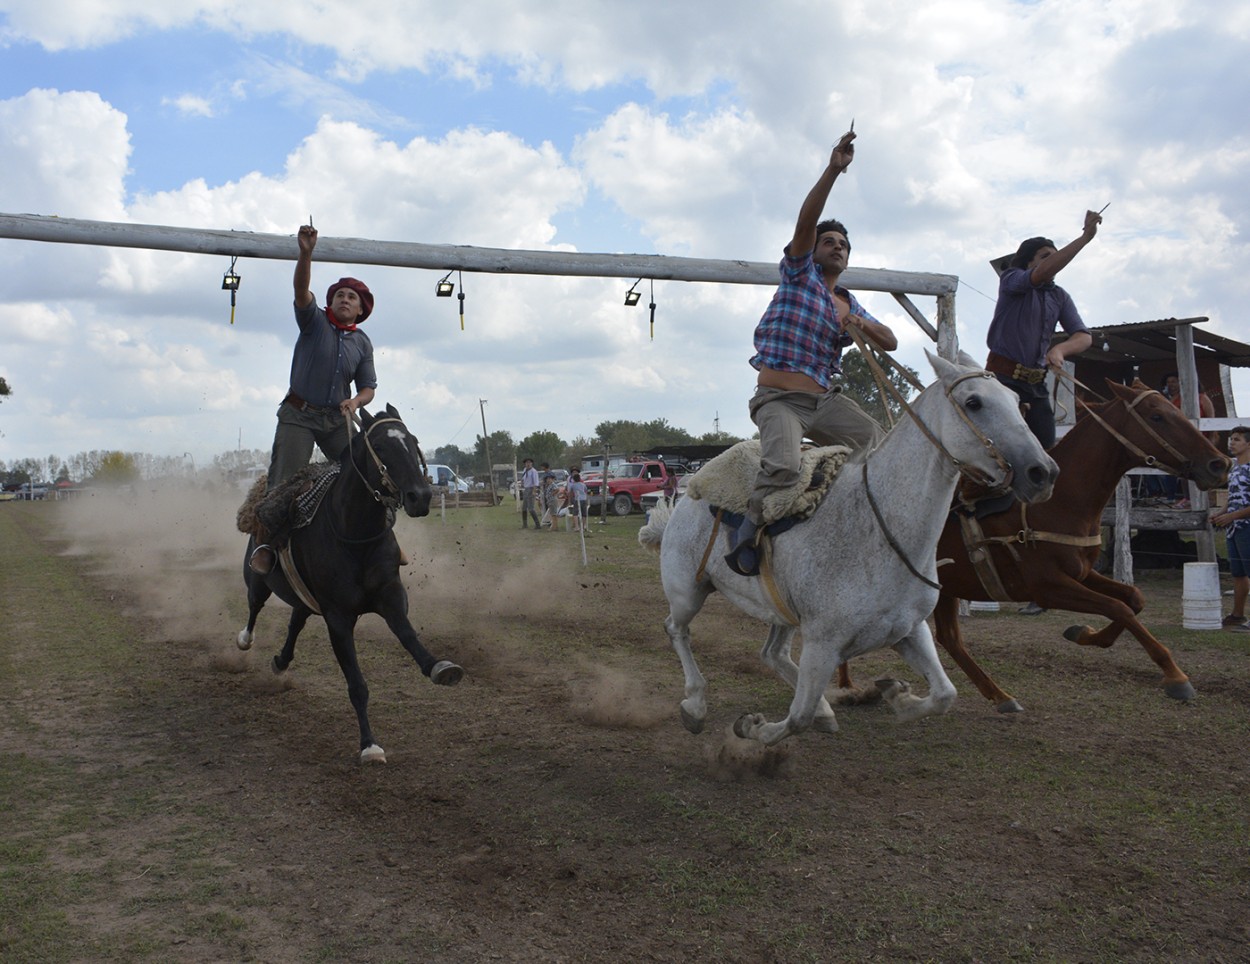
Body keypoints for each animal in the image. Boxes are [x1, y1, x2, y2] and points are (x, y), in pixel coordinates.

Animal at [238, 402, 465, 765]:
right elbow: (357, 684)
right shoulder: (339, 618)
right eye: (381, 447)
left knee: (295, 622)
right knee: (254, 606)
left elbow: (409, 636)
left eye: (413, 442)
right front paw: (369, 745)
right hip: (259, 580)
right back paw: (246, 640)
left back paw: (281, 661)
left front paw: (440, 667)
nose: (420, 496)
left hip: (305, 598)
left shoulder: (390, 597)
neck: (355, 534)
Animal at [640, 352, 1060, 745]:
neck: (880, 529)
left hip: (782, 612)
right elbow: (797, 718)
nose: (1043, 472)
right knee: (676, 629)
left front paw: (897, 696)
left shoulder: (910, 630)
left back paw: (825, 710)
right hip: (688, 591)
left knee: (772, 654)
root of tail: (687, 493)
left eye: (1016, 401)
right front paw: (752, 727)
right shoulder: (822, 644)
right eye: (974, 402)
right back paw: (695, 705)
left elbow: (945, 694)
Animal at [840, 380, 1230, 710]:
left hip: (946, 588)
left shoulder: (1081, 573)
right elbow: (1118, 608)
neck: (1059, 503)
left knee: (950, 639)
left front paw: (1084, 634)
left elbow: (1132, 600)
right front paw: (1175, 676)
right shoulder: (1047, 587)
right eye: (1157, 416)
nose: (1219, 463)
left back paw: (999, 696)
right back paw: (846, 687)